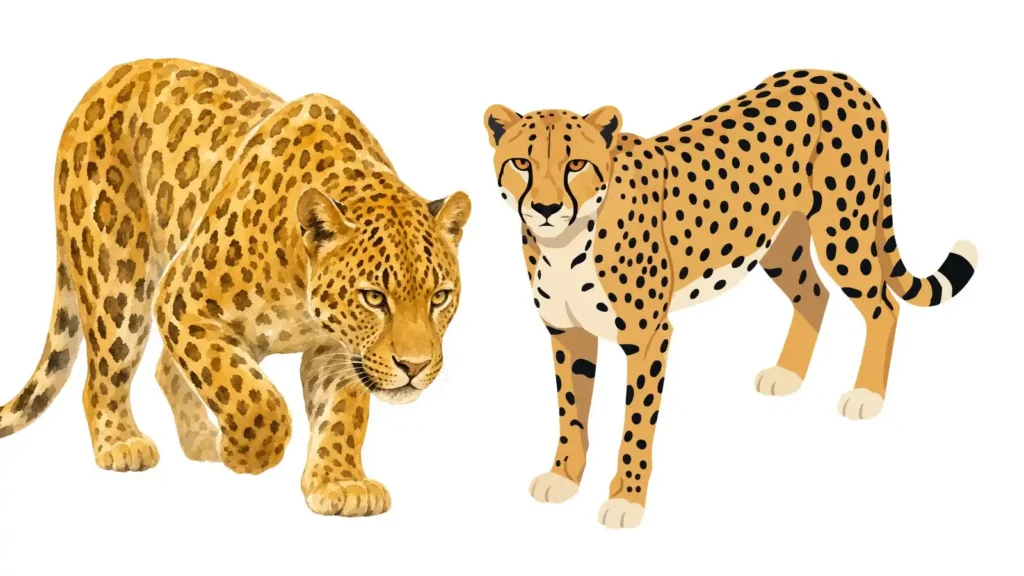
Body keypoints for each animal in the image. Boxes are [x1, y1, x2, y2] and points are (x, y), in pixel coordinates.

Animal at [0, 58, 471, 517]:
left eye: (439, 297)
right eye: (374, 297)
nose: (414, 366)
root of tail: (106, 80)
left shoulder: (337, 351)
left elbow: (342, 415)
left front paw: (340, 483)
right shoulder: (183, 301)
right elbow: (255, 400)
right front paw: (244, 454)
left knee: (166, 370)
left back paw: (200, 441)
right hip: (117, 281)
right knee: (104, 375)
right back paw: (122, 442)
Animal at [484, 70, 977, 529]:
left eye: (577, 165)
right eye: (522, 163)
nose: (546, 209)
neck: (568, 241)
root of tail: (839, 76)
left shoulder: (649, 337)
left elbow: (636, 426)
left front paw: (627, 499)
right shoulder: (567, 333)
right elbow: (571, 412)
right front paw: (564, 478)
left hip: (843, 232)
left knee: (883, 306)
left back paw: (867, 395)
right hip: (779, 245)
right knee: (814, 295)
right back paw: (788, 374)